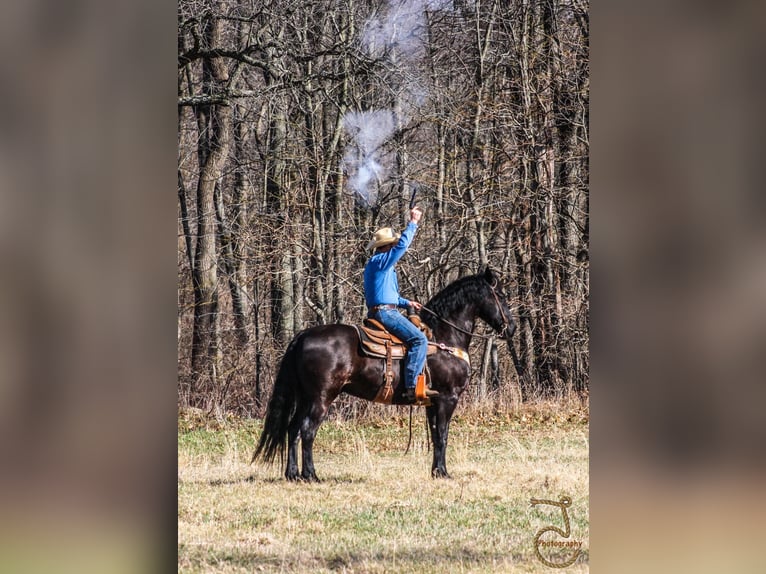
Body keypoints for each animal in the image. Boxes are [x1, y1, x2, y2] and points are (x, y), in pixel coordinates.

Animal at [252, 268, 516, 482]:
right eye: (501, 295)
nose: (511, 328)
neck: (444, 337)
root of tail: (302, 336)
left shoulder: (433, 401)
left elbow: (434, 434)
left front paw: (436, 471)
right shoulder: (447, 398)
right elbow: (442, 435)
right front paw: (443, 473)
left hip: (305, 397)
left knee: (293, 429)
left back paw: (292, 474)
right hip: (322, 397)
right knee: (307, 430)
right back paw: (311, 475)